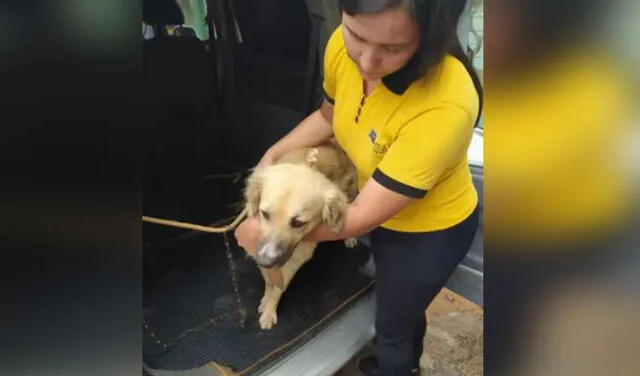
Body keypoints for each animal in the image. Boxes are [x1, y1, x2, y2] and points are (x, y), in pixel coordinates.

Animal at [242, 143, 358, 328]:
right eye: (264, 213)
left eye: (298, 223)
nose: (266, 261)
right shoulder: (257, 252)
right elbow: (269, 281)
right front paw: (266, 300)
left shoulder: (295, 260)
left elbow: (278, 289)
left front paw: (269, 311)